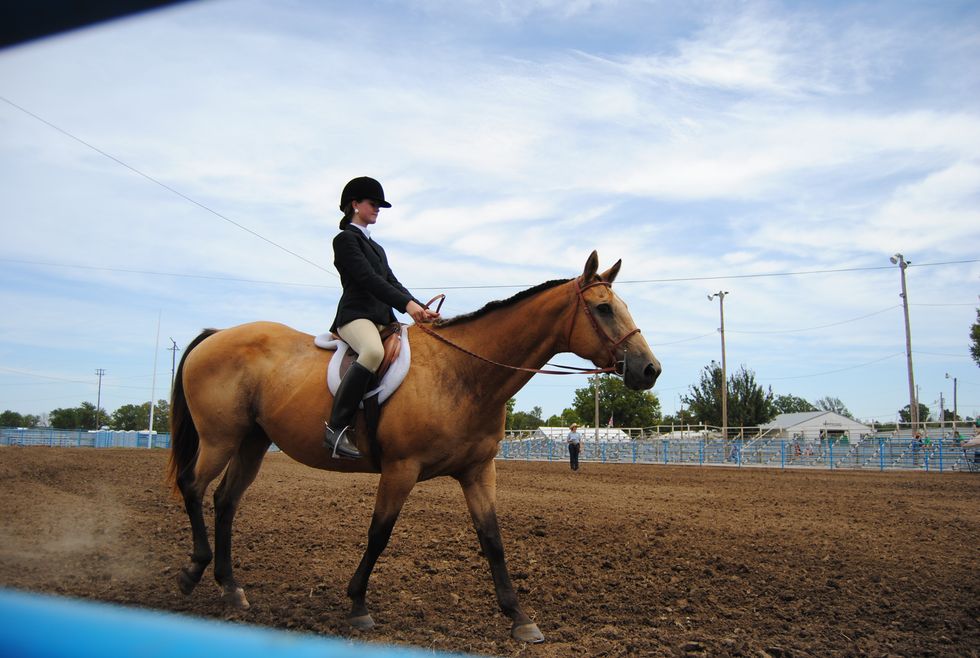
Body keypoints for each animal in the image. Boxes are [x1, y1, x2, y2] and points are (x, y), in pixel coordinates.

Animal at [166, 251, 661, 643]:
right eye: (603, 309)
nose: (649, 369)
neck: (462, 373)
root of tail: (216, 334)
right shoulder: (401, 469)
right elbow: (379, 534)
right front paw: (358, 605)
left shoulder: (479, 471)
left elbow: (492, 539)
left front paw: (519, 617)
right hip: (220, 438)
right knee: (193, 486)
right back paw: (192, 572)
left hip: (252, 442)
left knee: (226, 500)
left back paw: (231, 588)